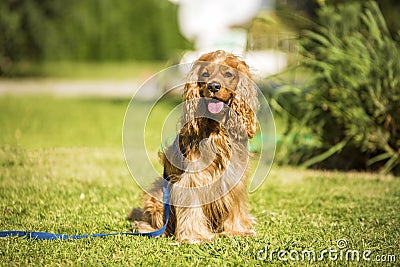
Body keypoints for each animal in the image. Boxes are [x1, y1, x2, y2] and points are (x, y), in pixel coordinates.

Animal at [130, 50, 258, 245]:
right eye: (205, 74)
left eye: (228, 74)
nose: (214, 86)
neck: (216, 130)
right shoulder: (192, 179)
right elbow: (191, 207)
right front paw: (195, 236)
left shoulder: (234, 178)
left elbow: (235, 206)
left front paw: (238, 230)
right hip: (157, 196)